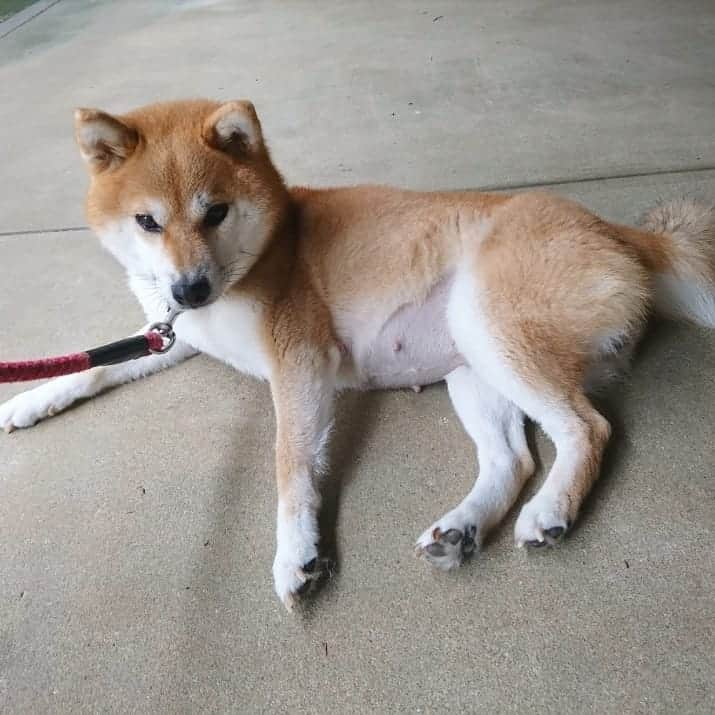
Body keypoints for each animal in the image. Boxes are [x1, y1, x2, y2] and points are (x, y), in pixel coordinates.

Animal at [1, 100, 715, 608]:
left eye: (217, 212)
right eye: (148, 222)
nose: (190, 289)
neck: (266, 250)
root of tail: (619, 231)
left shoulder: (299, 362)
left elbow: (289, 465)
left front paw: (295, 553)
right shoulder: (174, 333)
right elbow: (100, 365)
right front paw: (31, 399)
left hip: (489, 325)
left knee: (588, 428)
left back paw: (552, 510)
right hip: (471, 365)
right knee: (512, 459)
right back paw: (464, 527)